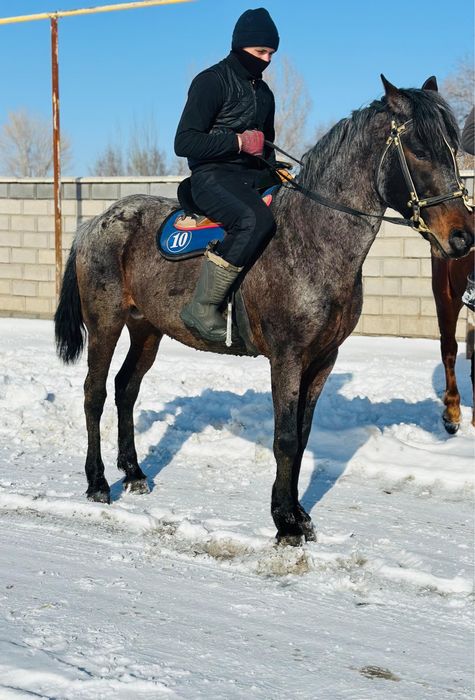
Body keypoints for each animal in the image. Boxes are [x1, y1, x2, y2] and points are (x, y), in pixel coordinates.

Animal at [54, 75, 473, 545]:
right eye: (418, 148)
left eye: (452, 148)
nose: (463, 237)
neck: (312, 239)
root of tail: (96, 222)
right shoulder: (287, 357)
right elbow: (285, 438)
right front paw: (285, 522)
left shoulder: (323, 359)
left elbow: (302, 436)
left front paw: (298, 513)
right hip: (105, 322)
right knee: (95, 392)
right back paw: (97, 482)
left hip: (147, 328)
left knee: (126, 387)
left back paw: (134, 473)